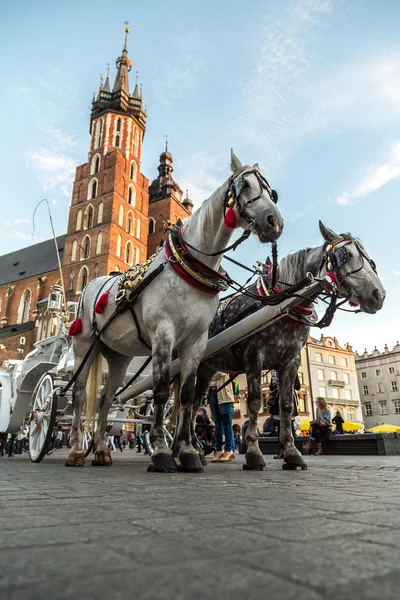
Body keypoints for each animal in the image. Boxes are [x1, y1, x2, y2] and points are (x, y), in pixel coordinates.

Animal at [66, 148, 284, 472]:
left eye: (271, 191)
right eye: (244, 186)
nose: (274, 221)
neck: (189, 265)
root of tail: (91, 285)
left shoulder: (196, 342)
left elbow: (187, 396)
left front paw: (188, 452)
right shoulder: (163, 335)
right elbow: (159, 391)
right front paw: (160, 450)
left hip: (117, 355)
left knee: (106, 398)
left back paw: (102, 451)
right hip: (84, 346)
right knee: (79, 395)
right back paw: (76, 451)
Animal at [194, 223, 384, 472]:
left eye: (370, 258)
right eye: (346, 254)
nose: (378, 294)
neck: (279, 303)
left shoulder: (291, 361)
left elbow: (286, 406)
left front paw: (291, 453)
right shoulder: (253, 357)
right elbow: (255, 402)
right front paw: (253, 452)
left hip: (206, 369)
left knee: (191, 404)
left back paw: (192, 448)